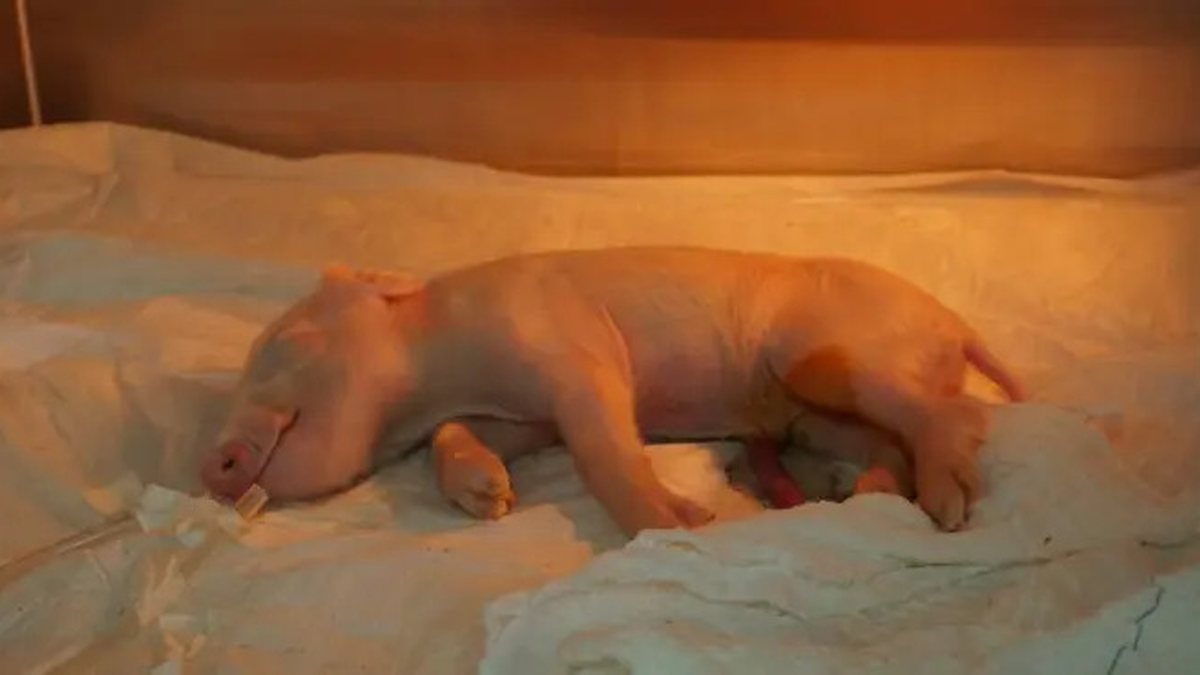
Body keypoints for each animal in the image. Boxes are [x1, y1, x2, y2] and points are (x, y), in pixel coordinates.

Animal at [200, 247, 1025, 536]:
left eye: (281, 343)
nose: (211, 466)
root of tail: (956, 325)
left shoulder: (573, 347)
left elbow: (603, 442)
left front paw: (683, 523)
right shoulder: (517, 412)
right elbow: (461, 437)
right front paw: (488, 496)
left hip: (821, 353)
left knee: (958, 412)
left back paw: (950, 504)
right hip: (813, 416)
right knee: (887, 441)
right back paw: (870, 492)